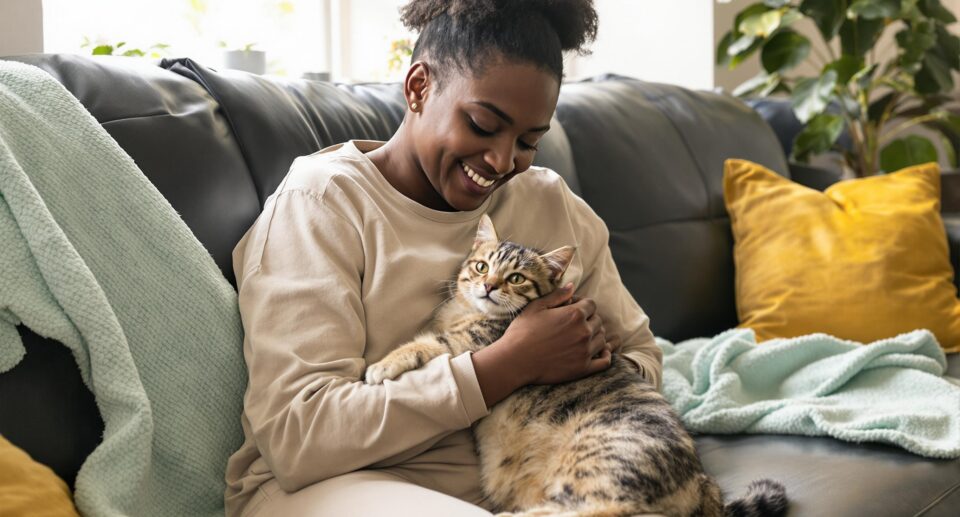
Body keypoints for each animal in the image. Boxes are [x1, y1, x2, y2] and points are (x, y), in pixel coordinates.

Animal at [366, 215, 788, 516]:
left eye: (516, 278)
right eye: (482, 267)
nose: (488, 287)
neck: (467, 313)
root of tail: (704, 484)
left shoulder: (474, 341)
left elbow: (425, 344)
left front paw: (382, 365)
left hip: (599, 463)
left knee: (594, 511)